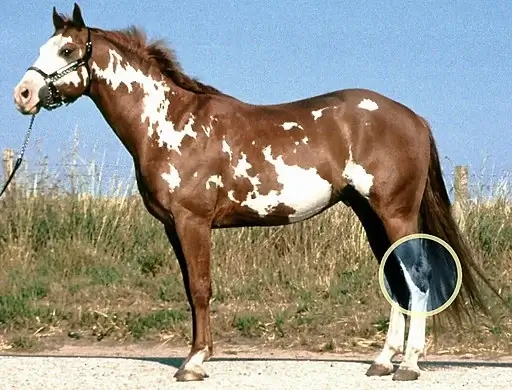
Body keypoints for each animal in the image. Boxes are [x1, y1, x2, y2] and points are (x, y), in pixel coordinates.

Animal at [13, 2, 504, 380]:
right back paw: (383, 361)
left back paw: (410, 365)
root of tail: (413, 118)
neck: (169, 122)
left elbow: (201, 288)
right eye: (42, 48)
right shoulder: (173, 227)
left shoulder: (193, 223)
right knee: (397, 281)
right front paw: (196, 356)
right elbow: (190, 288)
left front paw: (195, 362)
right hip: (370, 216)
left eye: (67, 49)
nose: (23, 94)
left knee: (417, 277)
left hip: (395, 213)